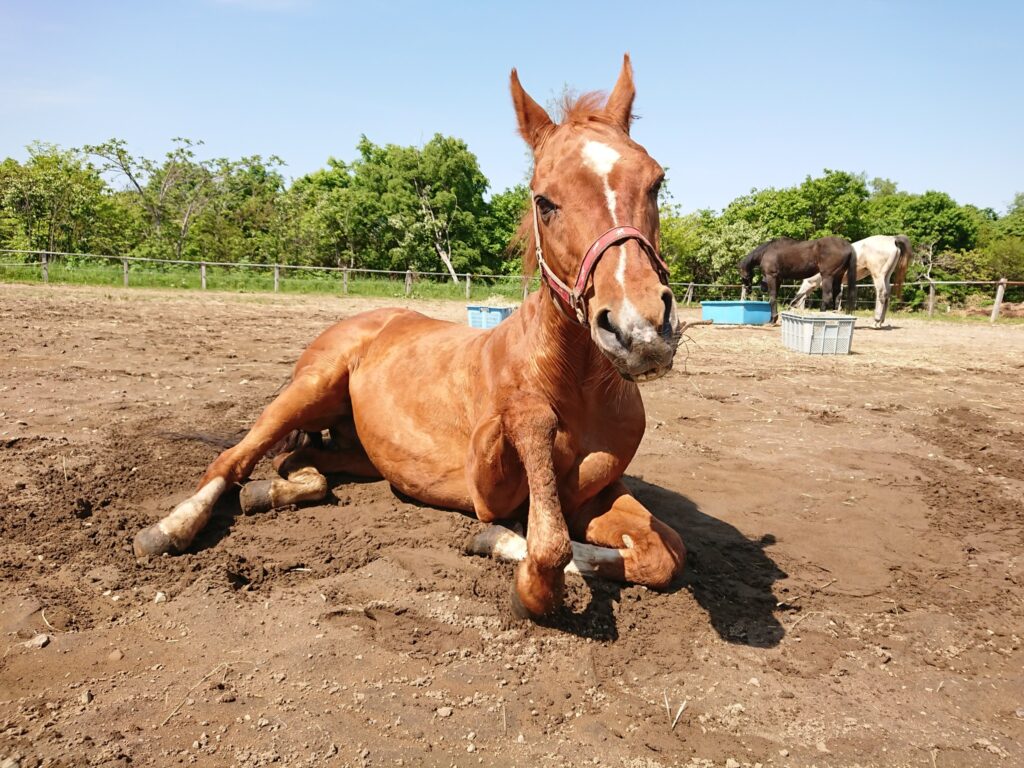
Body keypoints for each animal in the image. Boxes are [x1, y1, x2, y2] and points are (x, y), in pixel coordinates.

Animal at [130, 58, 688, 626]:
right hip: (307, 389)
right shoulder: (488, 487)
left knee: (300, 467)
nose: (640, 330)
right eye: (544, 201)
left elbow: (663, 553)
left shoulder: (595, 494)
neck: (576, 385)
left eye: (656, 183)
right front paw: (500, 538)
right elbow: (544, 538)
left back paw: (269, 493)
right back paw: (169, 529)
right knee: (232, 460)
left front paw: (498, 542)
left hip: (359, 453)